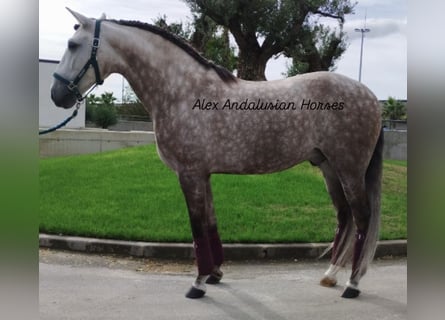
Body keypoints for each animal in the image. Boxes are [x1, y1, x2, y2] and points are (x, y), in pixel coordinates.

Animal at [49, 9, 382, 300]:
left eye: (72, 44)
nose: (56, 95)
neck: (182, 92)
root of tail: (369, 94)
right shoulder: (204, 174)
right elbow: (210, 223)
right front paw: (215, 274)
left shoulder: (190, 174)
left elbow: (197, 227)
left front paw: (198, 284)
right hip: (328, 168)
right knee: (345, 216)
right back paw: (331, 274)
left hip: (349, 170)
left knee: (362, 218)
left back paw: (352, 284)